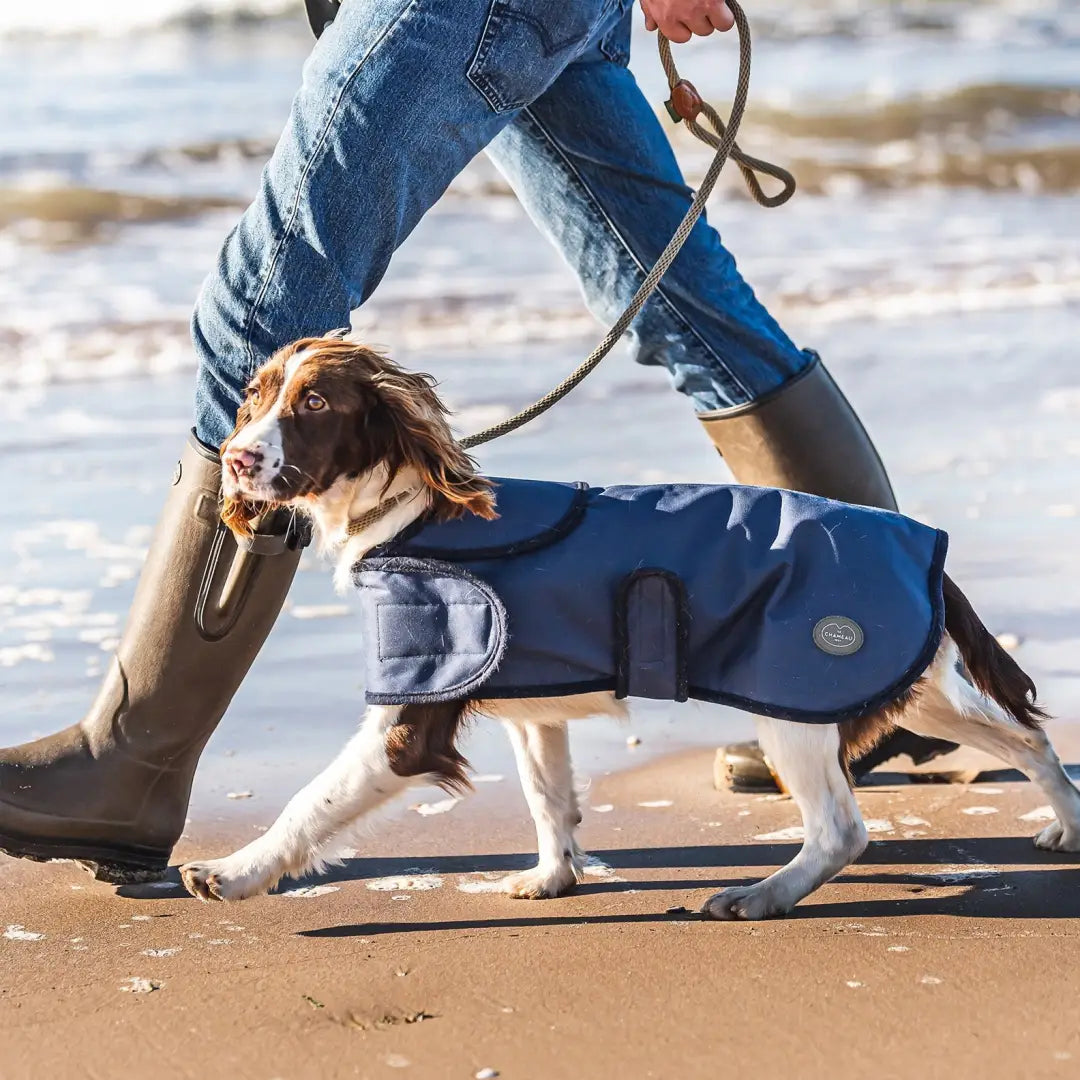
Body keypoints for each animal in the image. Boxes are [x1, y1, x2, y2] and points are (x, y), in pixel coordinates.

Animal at [181, 336, 1080, 920]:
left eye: (315, 402)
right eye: (254, 395)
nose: (238, 459)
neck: (411, 512)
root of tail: (921, 542)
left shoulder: (408, 722)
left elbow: (309, 804)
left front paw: (232, 873)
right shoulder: (531, 710)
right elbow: (549, 799)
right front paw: (552, 878)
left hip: (792, 702)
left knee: (842, 828)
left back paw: (759, 897)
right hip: (907, 687)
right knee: (1028, 740)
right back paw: (1068, 827)